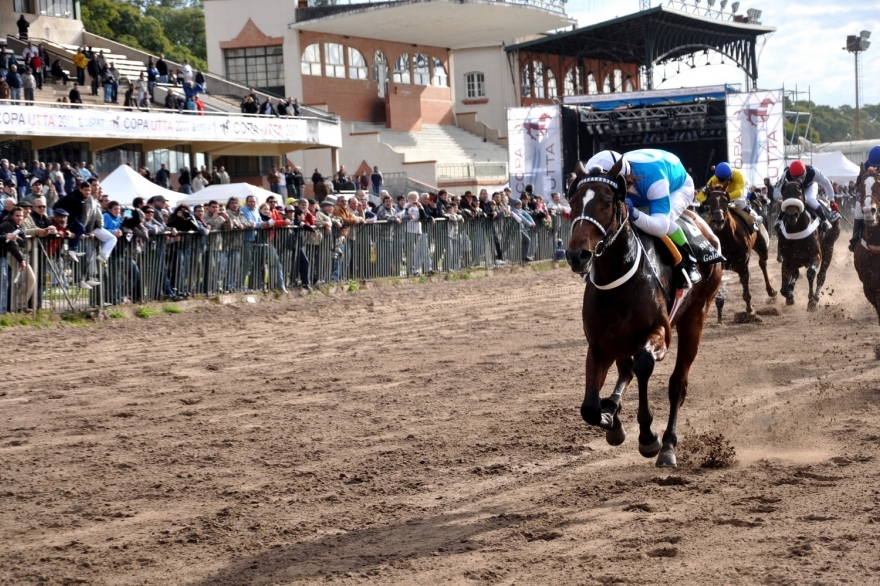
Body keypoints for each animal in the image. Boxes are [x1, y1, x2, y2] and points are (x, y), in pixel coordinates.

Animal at [564, 160, 720, 466]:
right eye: (572, 201)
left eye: (607, 202)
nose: (578, 256)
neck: (618, 278)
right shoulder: (599, 344)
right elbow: (589, 408)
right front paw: (610, 418)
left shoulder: (659, 333)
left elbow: (645, 365)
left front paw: (648, 437)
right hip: (621, 340)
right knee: (626, 371)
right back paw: (613, 408)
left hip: (695, 317)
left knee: (676, 384)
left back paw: (668, 446)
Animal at [700, 187, 776, 322]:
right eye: (709, 202)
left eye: (725, 201)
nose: (718, 220)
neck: (726, 238)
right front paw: (719, 318)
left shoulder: (743, 264)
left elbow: (746, 288)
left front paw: (750, 311)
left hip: (762, 246)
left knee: (763, 264)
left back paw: (771, 290)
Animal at [776, 181, 840, 310]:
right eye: (784, 194)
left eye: (800, 193)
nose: (792, 215)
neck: (796, 230)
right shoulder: (788, 260)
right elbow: (784, 288)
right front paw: (789, 296)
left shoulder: (815, 256)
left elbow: (811, 273)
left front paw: (811, 301)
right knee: (796, 274)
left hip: (829, 247)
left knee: (821, 276)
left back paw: (815, 298)